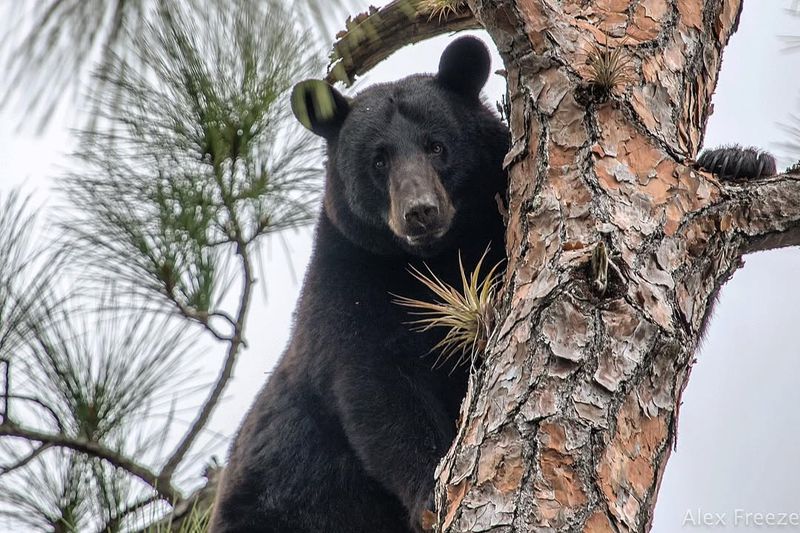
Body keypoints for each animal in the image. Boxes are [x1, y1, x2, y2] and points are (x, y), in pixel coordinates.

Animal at [210, 36, 777, 533]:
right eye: (377, 159)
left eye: (437, 146)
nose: (420, 212)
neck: (439, 259)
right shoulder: (347, 287)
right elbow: (375, 389)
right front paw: (429, 494)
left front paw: (740, 160)